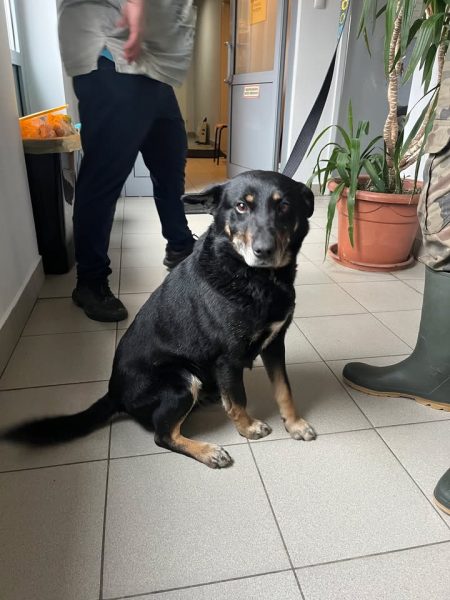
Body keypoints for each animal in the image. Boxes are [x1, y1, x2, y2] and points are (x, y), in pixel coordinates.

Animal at [4, 170, 316, 468]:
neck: (256, 278)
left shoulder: (275, 343)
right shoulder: (227, 359)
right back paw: (208, 451)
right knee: (163, 435)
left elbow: (284, 389)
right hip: (181, 380)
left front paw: (295, 424)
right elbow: (238, 400)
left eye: (284, 206)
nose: (264, 251)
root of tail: (114, 392)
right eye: (241, 206)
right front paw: (248, 428)